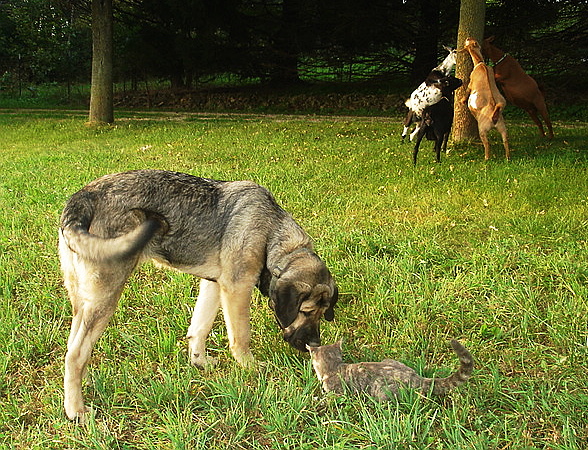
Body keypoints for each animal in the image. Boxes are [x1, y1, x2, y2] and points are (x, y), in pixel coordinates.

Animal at [59, 170, 338, 422]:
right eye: (306, 311)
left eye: (323, 313)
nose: (314, 344)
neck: (271, 233)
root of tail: (83, 197)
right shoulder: (236, 289)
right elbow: (240, 337)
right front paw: (249, 366)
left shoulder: (213, 285)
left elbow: (199, 328)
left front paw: (199, 362)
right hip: (106, 297)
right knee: (75, 354)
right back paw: (76, 410)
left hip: (82, 301)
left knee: (73, 346)